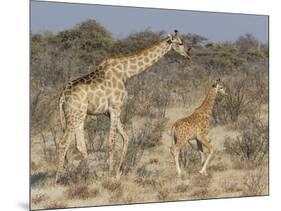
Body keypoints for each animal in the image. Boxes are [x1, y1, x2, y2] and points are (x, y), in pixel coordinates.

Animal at [55, 30, 190, 183]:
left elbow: (126, 137)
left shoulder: (108, 112)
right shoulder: (115, 108)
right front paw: (110, 174)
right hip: (74, 114)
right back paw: (57, 180)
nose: (188, 53)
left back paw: (89, 175)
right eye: (180, 43)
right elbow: (112, 141)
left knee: (80, 145)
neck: (126, 72)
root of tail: (62, 95)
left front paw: (118, 173)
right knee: (63, 143)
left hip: (79, 115)